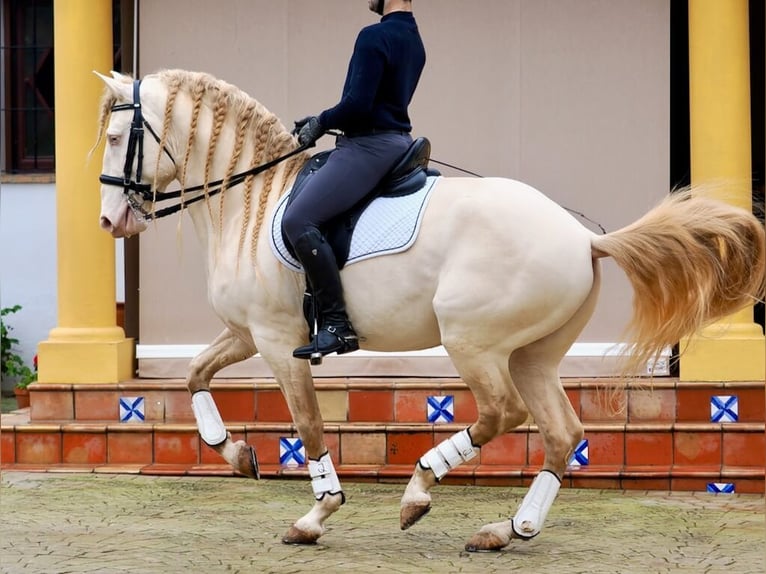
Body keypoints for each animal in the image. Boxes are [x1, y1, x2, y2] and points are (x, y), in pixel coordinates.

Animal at [96, 70, 766, 552]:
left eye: (115, 138)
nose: (110, 222)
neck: (252, 200)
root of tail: (581, 238)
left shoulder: (277, 339)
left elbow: (308, 426)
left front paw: (316, 515)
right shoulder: (244, 332)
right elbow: (193, 375)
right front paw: (236, 454)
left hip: (473, 341)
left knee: (503, 414)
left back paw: (419, 491)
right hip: (533, 354)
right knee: (561, 433)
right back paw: (507, 531)